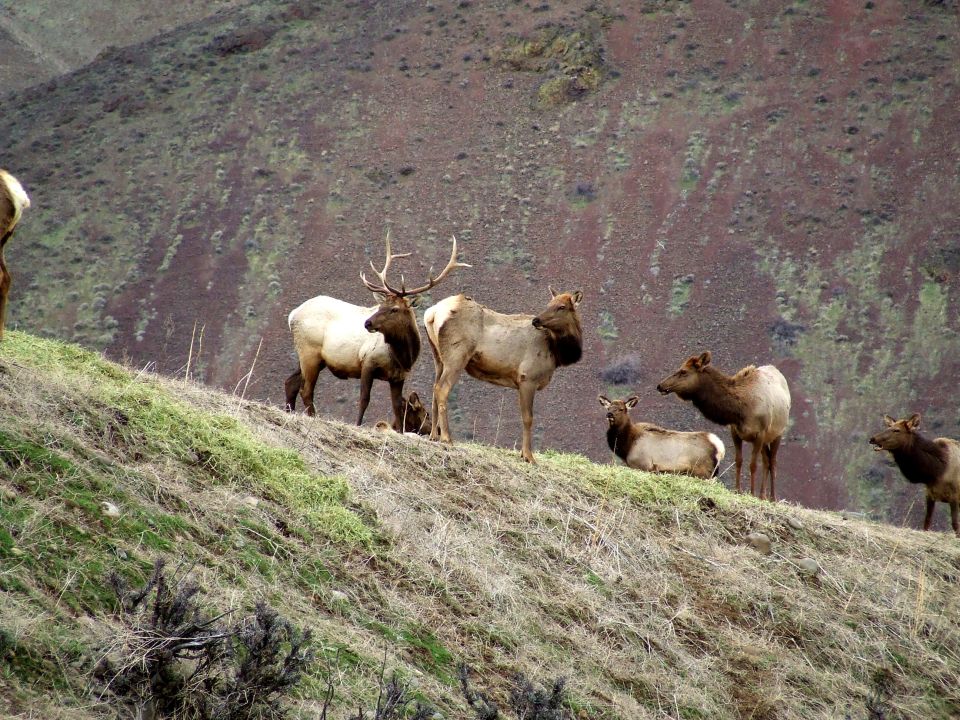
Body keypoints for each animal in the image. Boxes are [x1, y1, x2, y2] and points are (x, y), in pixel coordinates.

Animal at [285, 233, 469, 431]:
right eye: (380, 306)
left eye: (394, 309)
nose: (367, 323)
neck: (402, 356)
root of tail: (292, 315)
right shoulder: (368, 363)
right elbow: (364, 399)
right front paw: (358, 425)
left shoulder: (398, 377)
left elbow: (397, 407)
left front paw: (400, 431)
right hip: (309, 353)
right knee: (305, 390)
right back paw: (313, 417)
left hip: (309, 357)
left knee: (290, 383)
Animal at [424, 287, 584, 463]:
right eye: (550, 304)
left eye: (561, 306)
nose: (536, 320)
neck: (556, 352)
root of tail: (431, 313)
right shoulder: (527, 378)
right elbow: (528, 418)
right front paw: (528, 456)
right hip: (456, 356)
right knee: (442, 389)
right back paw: (446, 438)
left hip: (438, 357)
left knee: (434, 388)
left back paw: (433, 436)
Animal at [657, 351, 790, 500]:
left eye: (683, 371)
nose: (660, 385)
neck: (740, 410)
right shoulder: (735, 431)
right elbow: (739, 460)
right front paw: (738, 490)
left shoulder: (759, 434)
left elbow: (753, 465)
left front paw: (751, 493)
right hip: (765, 440)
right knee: (766, 461)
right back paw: (762, 495)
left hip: (777, 434)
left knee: (772, 462)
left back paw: (772, 497)